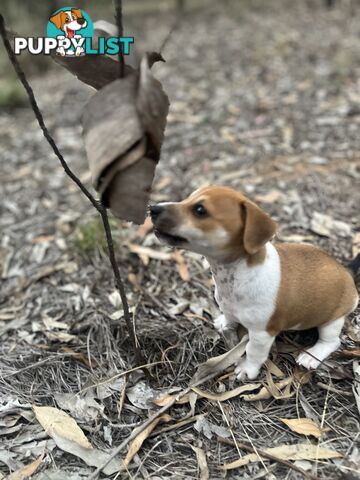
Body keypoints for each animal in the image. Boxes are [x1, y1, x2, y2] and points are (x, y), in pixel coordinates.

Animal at [148, 186, 358, 380]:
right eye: (187, 198)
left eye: (200, 210)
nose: (152, 208)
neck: (236, 274)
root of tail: (347, 272)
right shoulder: (229, 307)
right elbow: (229, 317)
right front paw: (224, 322)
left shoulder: (262, 333)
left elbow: (253, 352)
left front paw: (247, 369)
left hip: (332, 320)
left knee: (332, 341)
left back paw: (312, 355)